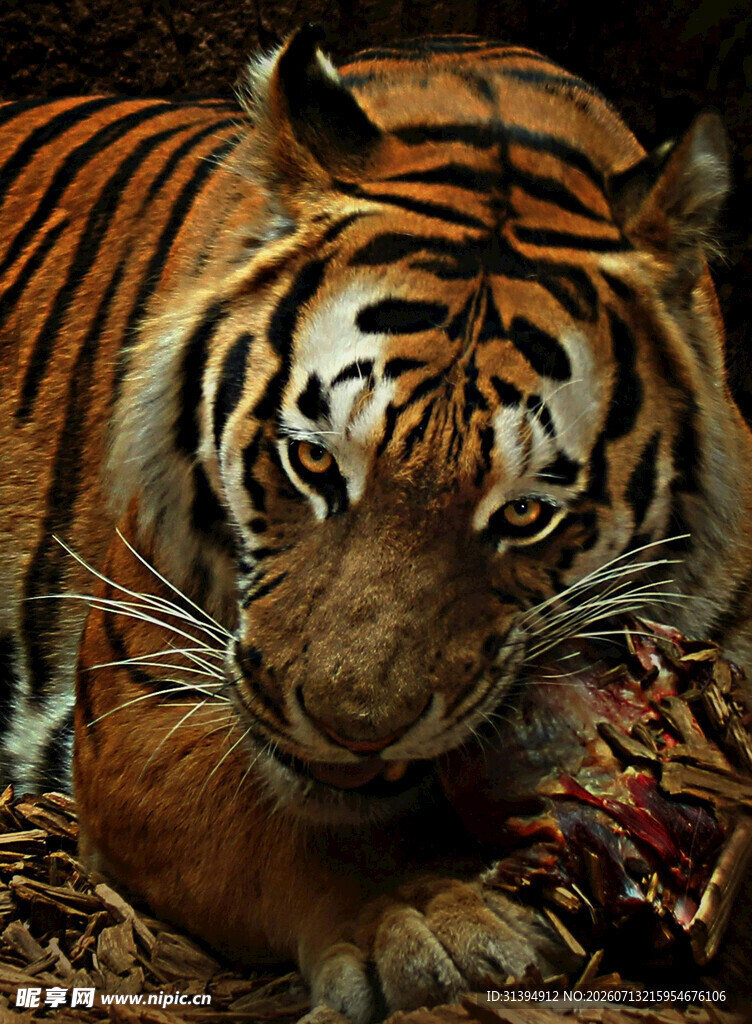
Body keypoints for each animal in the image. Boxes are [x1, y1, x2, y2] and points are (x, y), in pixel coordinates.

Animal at [1, 24, 751, 1021]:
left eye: (524, 513)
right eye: (315, 461)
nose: (355, 732)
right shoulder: (137, 703)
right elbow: (292, 825)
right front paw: (429, 922)